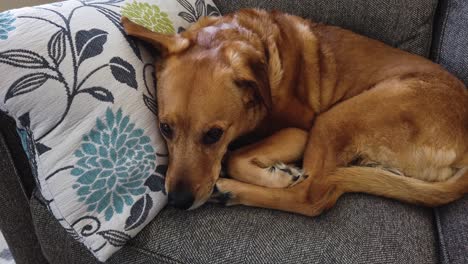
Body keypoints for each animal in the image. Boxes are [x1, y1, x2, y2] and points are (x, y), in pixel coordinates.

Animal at [121, 9, 468, 217]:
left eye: (214, 135)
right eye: (165, 128)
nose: (178, 202)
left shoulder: (300, 131)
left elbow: (234, 157)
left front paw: (276, 176)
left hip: (335, 119)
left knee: (312, 196)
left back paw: (234, 190)